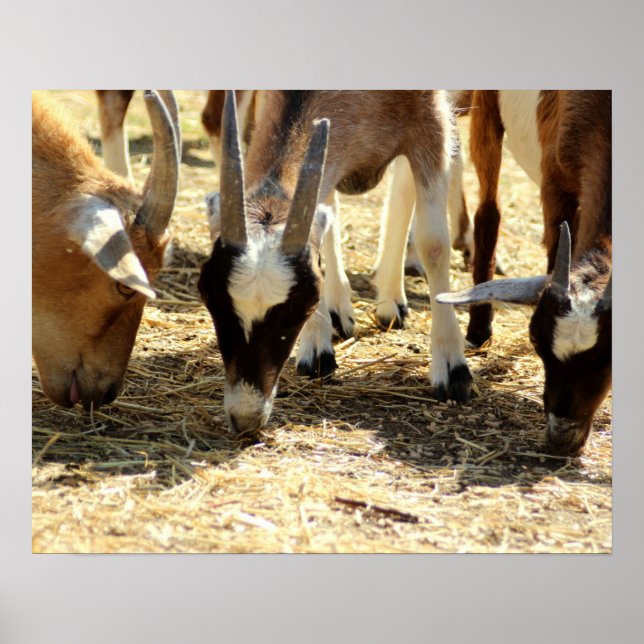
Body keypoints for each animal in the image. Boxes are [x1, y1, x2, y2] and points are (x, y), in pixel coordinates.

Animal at [198, 91, 473, 438]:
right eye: (211, 298)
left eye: (298, 307)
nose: (245, 418)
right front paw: (317, 348)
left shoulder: (431, 123)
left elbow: (433, 244)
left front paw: (452, 370)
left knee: (402, 186)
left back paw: (391, 303)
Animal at [437, 90, 611, 455]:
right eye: (536, 340)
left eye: (609, 355)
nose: (562, 437)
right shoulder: (555, 183)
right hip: (487, 112)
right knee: (489, 210)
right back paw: (479, 329)